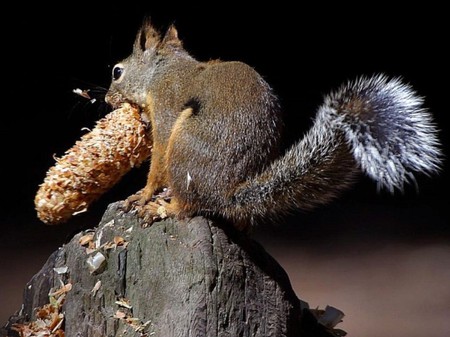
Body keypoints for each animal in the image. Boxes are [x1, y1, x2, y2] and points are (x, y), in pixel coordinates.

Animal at [104, 20, 440, 231]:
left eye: (117, 71)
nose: (107, 99)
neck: (163, 70)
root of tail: (224, 195)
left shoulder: (167, 105)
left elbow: (158, 157)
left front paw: (143, 194)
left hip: (185, 145)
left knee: (187, 206)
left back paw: (164, 207)